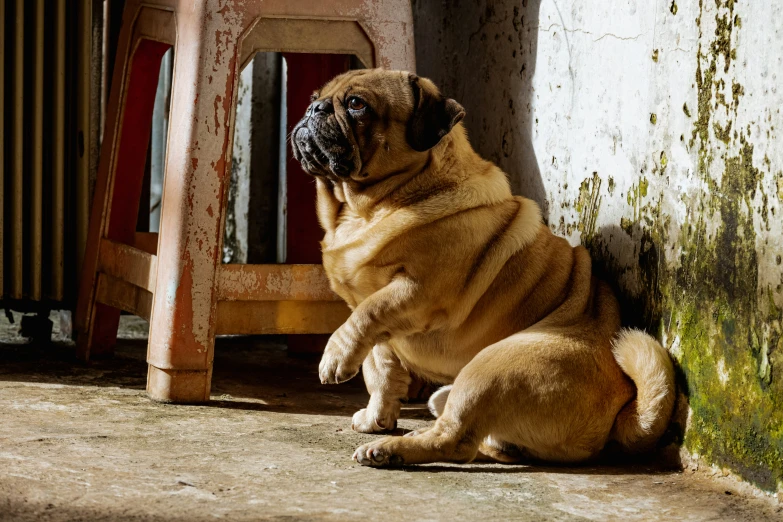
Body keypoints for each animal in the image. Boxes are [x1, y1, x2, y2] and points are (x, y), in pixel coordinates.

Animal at [290, 68, 672, 464]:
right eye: (315, 97)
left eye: (357, 104)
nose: (314, 108)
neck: (363, 210)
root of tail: (619, 413)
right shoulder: (382, 330)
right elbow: (378, 367)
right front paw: (376, 416)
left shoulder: (416, 292)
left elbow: (364, 317)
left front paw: (334, 358)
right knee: (477, 438)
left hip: (488, 368)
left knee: (454, 441)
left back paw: (390, 451)